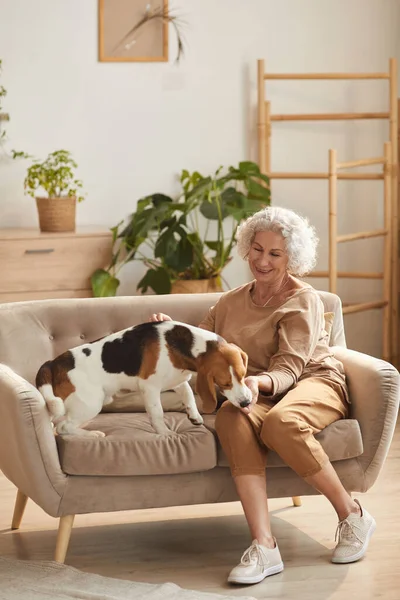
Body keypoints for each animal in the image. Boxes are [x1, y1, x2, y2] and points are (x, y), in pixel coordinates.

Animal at [36, 324, 250, 436]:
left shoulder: (177, 379)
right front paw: (165, 433)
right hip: (90, 404)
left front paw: (194, 415)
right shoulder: (150, 387)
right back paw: (92, 435)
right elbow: (157, 413)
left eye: (242, 375)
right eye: (225, 383)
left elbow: (188, 395)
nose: (246, 402)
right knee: (64, 427)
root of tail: (53, 363)